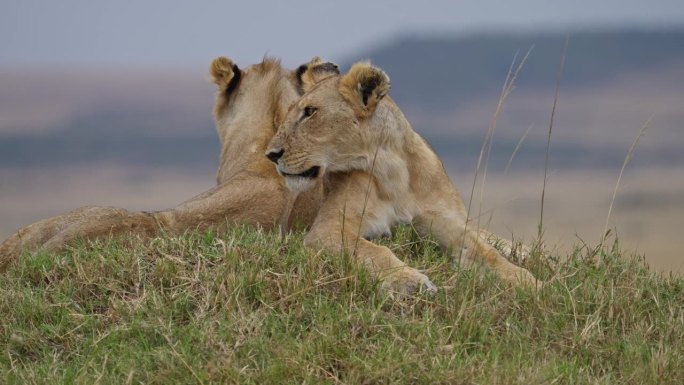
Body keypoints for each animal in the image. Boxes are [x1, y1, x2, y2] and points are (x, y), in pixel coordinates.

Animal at [268, 61, 540, 292]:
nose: (271, 154)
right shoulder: (327, 229)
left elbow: (488, 254)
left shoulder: (444, 222)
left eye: (310, 112)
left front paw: (529, 282)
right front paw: (409, 282)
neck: (393, 172)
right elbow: (374, 251)